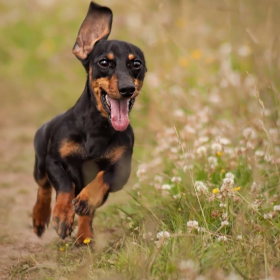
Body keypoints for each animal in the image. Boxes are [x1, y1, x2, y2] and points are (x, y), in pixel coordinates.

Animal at [31, 1, 147, 244]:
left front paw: (84, 202)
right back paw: (41, 218)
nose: (127, 89)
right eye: (104, 62)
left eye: (136, 64)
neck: (96, 128)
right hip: (40, 163)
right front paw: (61, 216)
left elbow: (102, 179)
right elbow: (65, 185)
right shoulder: (54, 161)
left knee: (88, 210)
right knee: (43, 187)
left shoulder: (122, 171)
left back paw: (84, 234)